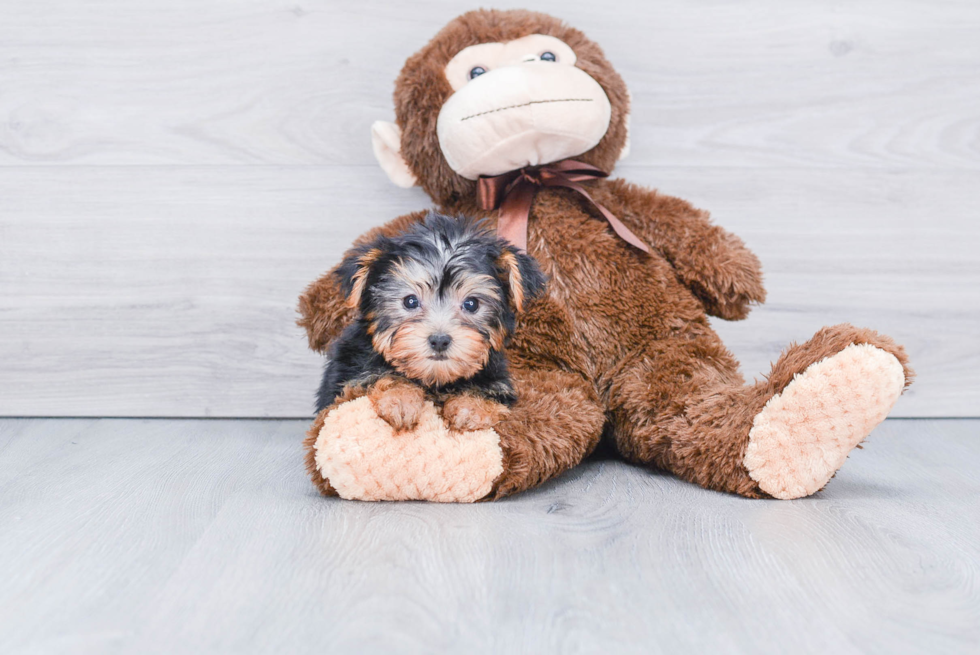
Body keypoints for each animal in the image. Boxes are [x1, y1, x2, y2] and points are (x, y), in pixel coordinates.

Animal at [316, 213, 544, 434]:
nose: (440, 340)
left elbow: (491, 391)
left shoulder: (498, 380)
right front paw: (400, 399)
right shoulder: (350, 374)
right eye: (410, 301)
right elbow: (378, 377)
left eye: (471, 304)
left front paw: (471, 408)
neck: (434, 380)